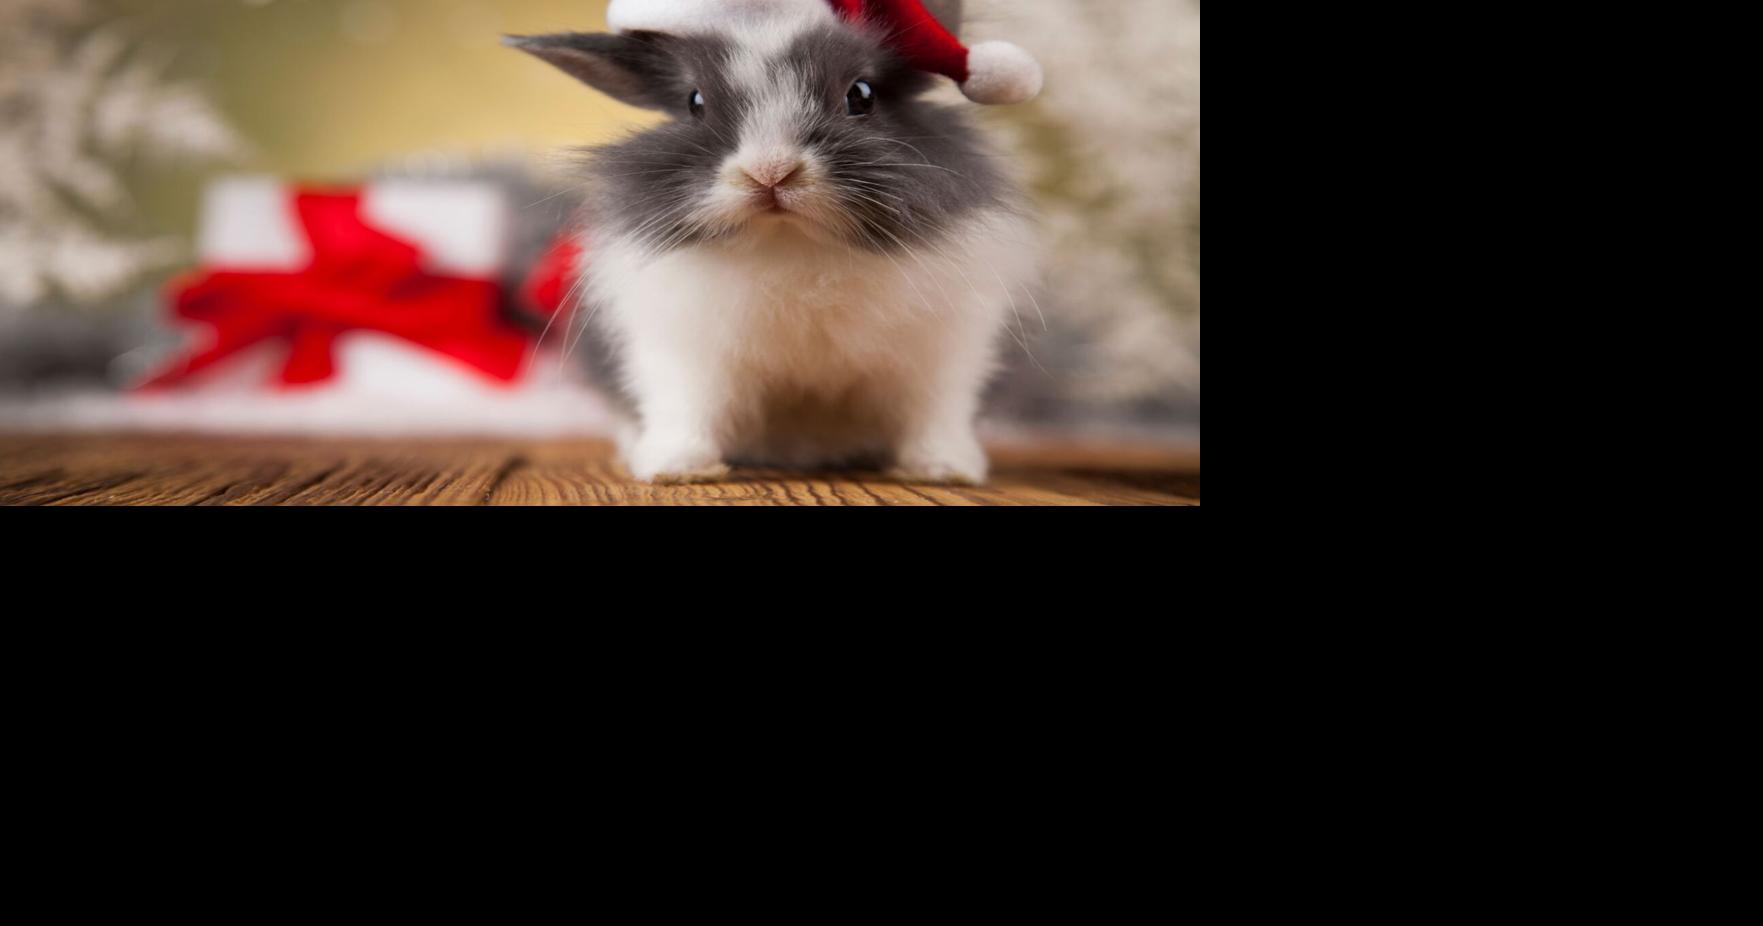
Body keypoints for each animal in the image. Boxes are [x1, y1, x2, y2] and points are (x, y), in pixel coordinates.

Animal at [508, 0, 1034, 485]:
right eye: (694, 102)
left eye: (861, 95)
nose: (770, 171)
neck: (790, 243)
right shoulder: (679, 352)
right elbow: (686, 408)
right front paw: (676, 469)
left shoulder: (942, 352)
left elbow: (934, 412)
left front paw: (945, 470)